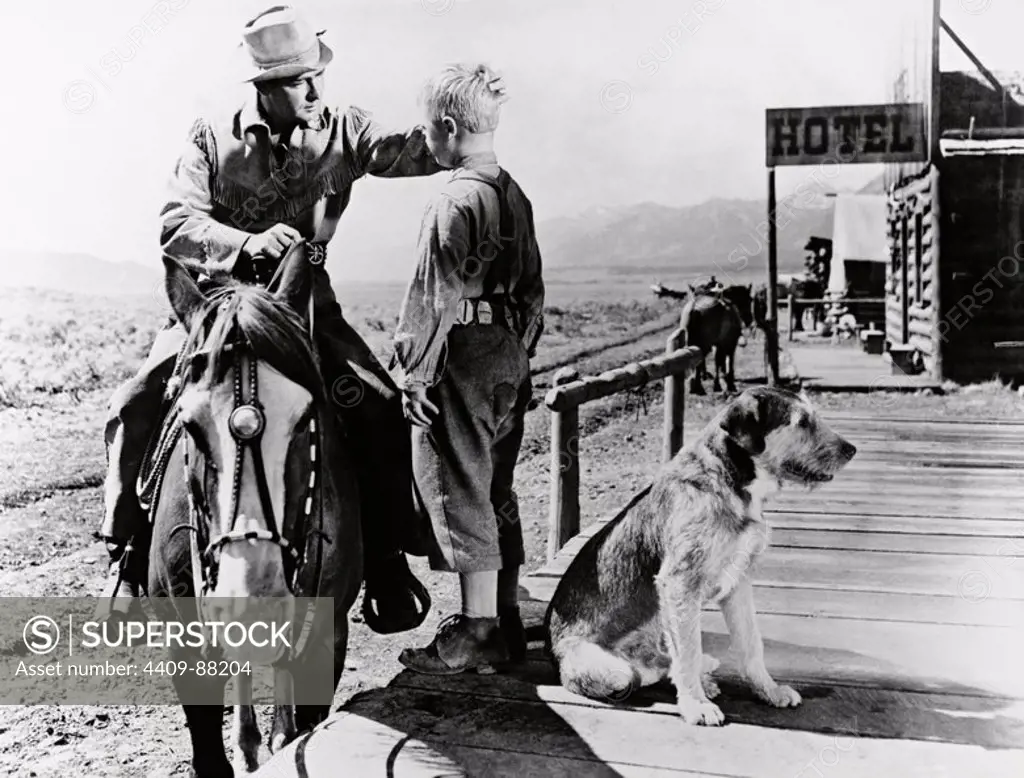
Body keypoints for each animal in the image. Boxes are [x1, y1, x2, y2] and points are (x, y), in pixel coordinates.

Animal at [140, 248, 362, 778]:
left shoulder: (327, 639)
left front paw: (285, 734)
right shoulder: (185, 646)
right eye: (190, 425)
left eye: (305, 420)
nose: (252, 607)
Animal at [544, 386, 856, 724]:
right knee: (644, 672)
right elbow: (688, 654)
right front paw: (695, 705)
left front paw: (769, 691)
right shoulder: (679, 583)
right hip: (615, 670)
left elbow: (751, 645)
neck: (729, 482)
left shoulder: (738, 583)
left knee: (663, 659)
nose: (852, 450)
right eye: (801, 422)